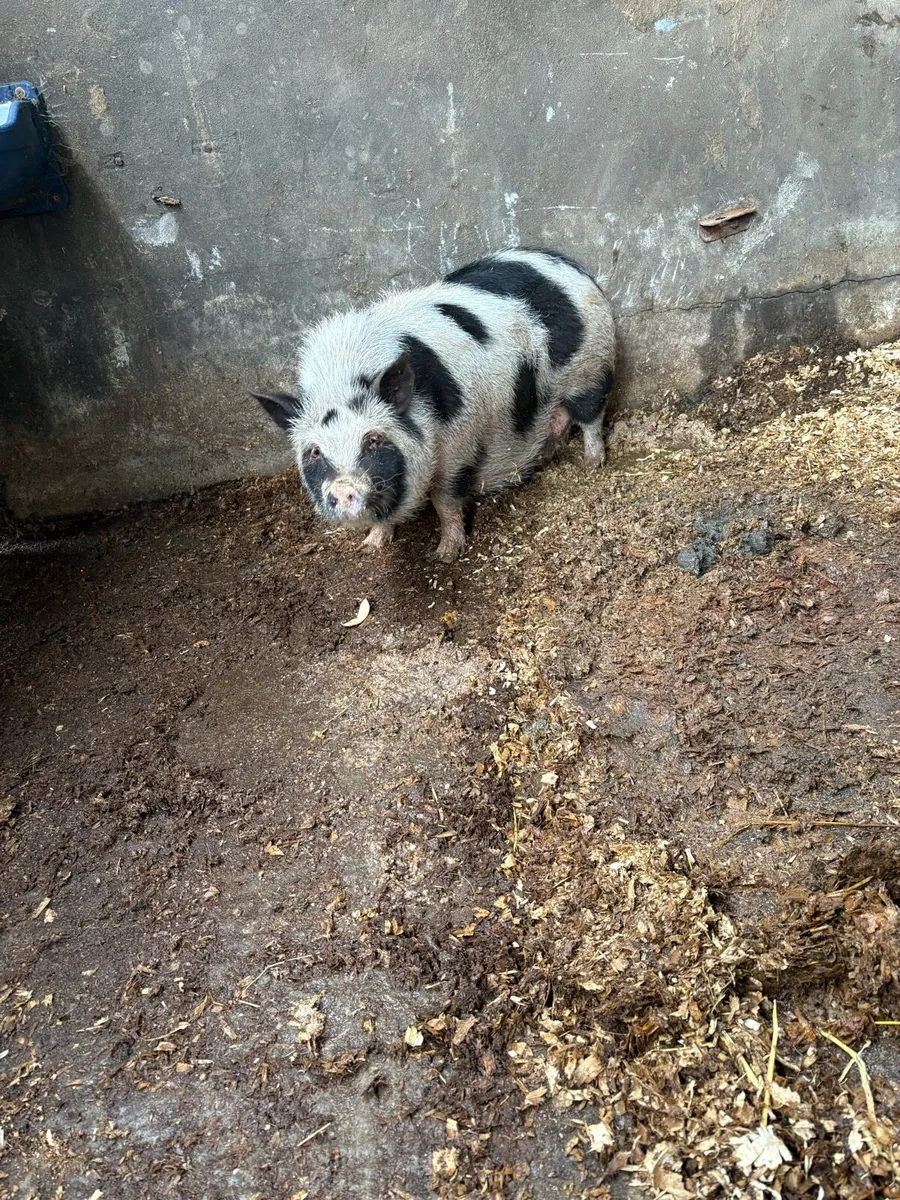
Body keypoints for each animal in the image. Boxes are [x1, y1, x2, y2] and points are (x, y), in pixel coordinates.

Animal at [252, 247, 615, 562]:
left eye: (373, 440)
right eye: (314, 451)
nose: (342, 488)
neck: (341, 377)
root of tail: (572, 268)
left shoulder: (460, 444)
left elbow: (445, 500)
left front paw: (444, 555)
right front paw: (370, 546)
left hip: (590, 369)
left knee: (591, 417)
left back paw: (591, 463)